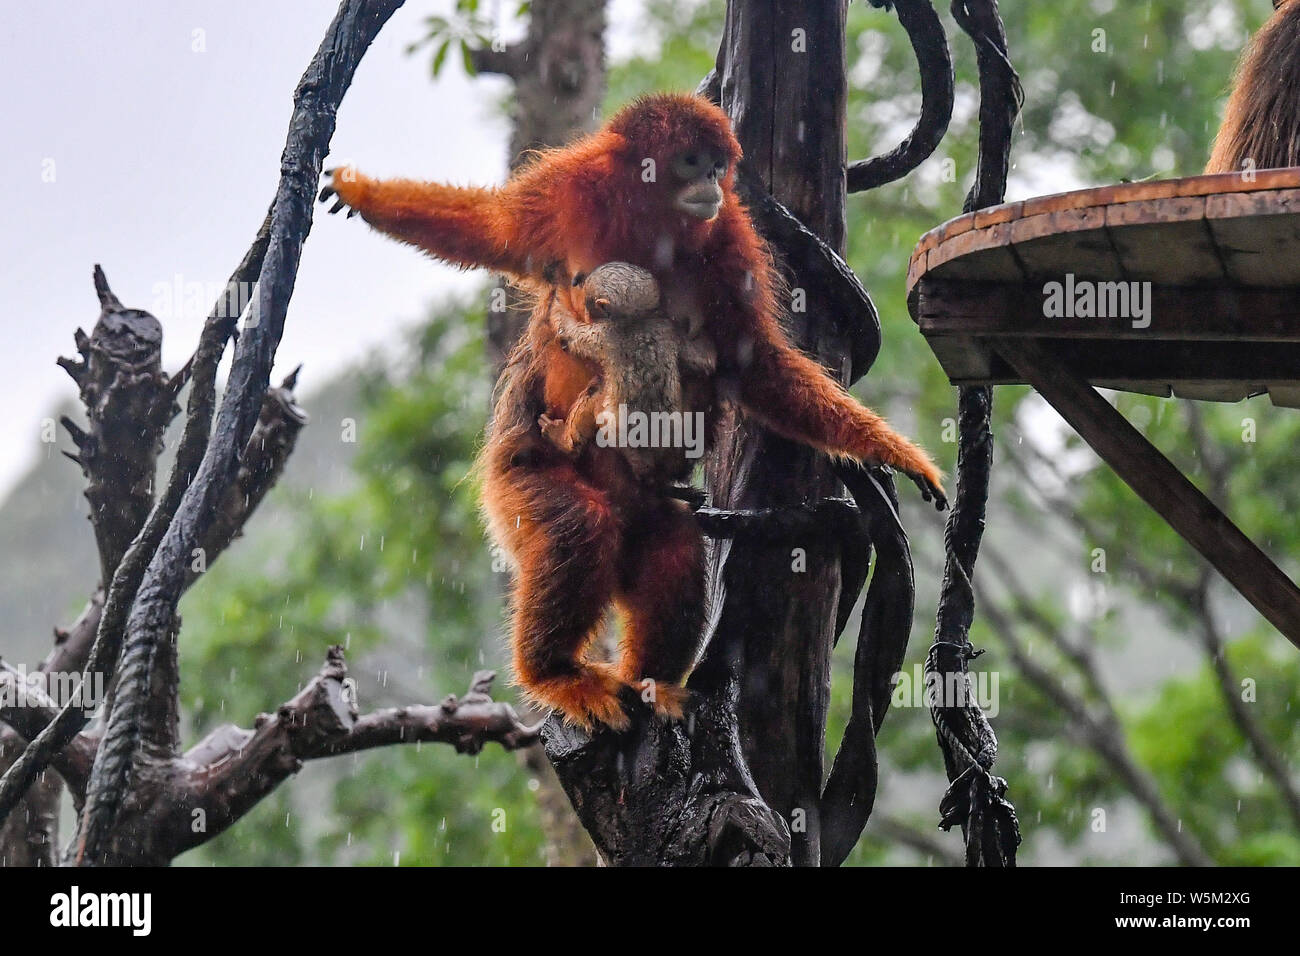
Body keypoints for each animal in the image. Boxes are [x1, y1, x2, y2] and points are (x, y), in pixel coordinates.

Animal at [538, 262, 717, 490]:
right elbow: (705, 361)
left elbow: (568, 334)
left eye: (589, 306)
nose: (587, 313)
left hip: (616, 436)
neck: (637, 320)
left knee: (597, 393)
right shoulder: (667, 329)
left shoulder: (604, 335)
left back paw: (565, 442)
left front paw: (556, 289)